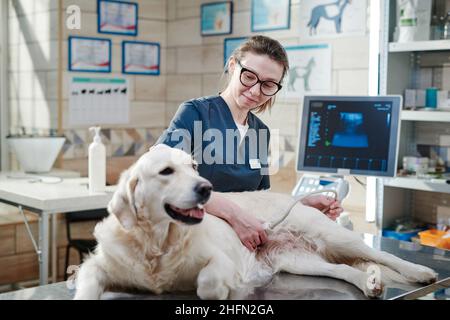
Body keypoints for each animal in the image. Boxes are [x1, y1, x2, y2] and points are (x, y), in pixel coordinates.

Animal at [73, 145, 436, 300]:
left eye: (194, 166)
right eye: (166, 171)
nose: (206, 187)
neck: (156, 244)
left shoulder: (219, 259)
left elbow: (207, 280)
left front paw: (223, 288)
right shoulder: (98, 265)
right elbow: (86, 283)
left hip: (329, 235)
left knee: (380, 255)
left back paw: (419, 272)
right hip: (299, 260)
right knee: (348, 270)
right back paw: (370, 283)